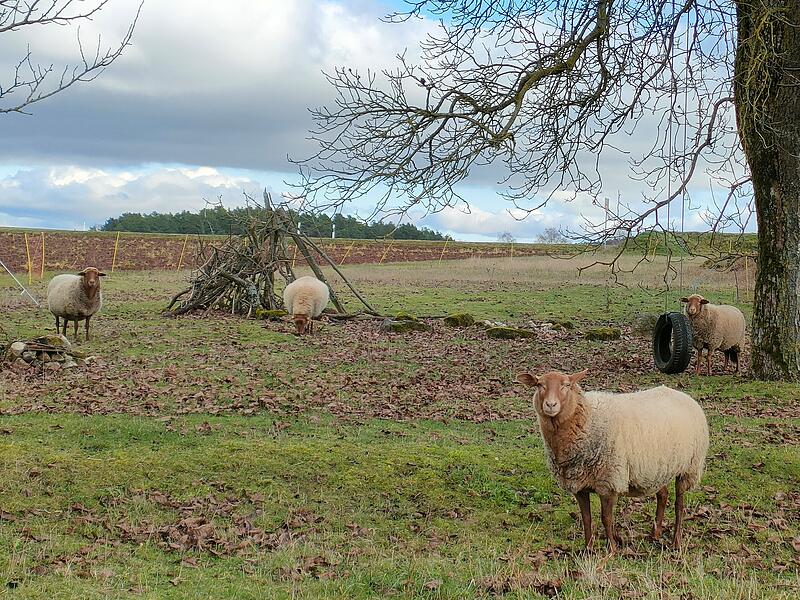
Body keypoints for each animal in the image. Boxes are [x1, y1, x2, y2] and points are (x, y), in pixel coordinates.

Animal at [516, 369, 709, 552]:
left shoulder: (608, 481)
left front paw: (612, 549)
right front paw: (588, 549)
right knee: (662, 496)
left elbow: (606, 518)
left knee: (679, 505)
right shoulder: (579, 484)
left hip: (688, 467)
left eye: (566, 385)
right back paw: (654, 534)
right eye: (539, 385)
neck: (587, 420)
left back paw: (676, 542)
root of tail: (681, 394)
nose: (550, 405)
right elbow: (586, 518)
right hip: (658, 468)